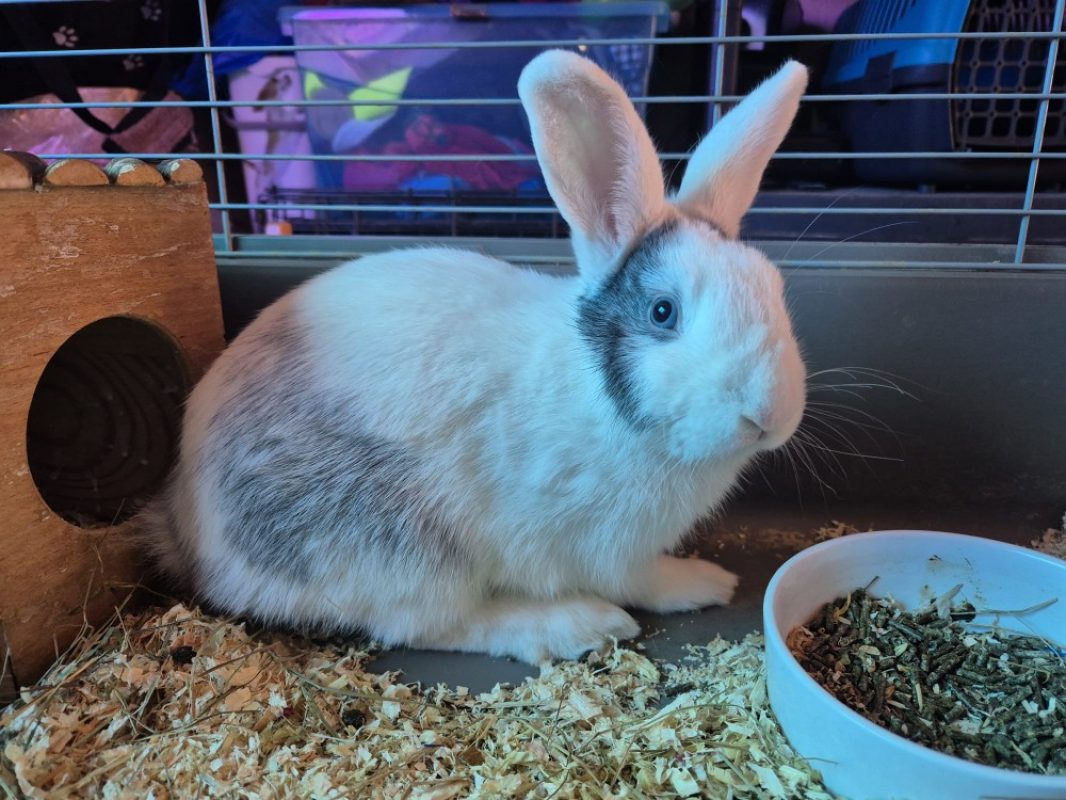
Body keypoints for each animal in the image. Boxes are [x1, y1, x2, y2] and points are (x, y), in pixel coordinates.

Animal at [141, 51, 809, 665]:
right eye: (663, 312)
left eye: (775, 288)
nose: (768, 415)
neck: (602, 396)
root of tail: (187, 529)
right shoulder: (606, 549)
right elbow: (640, 580)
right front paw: (701, 582)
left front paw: (710, 583)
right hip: (405, 550)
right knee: (431, 624)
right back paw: (575, 625)